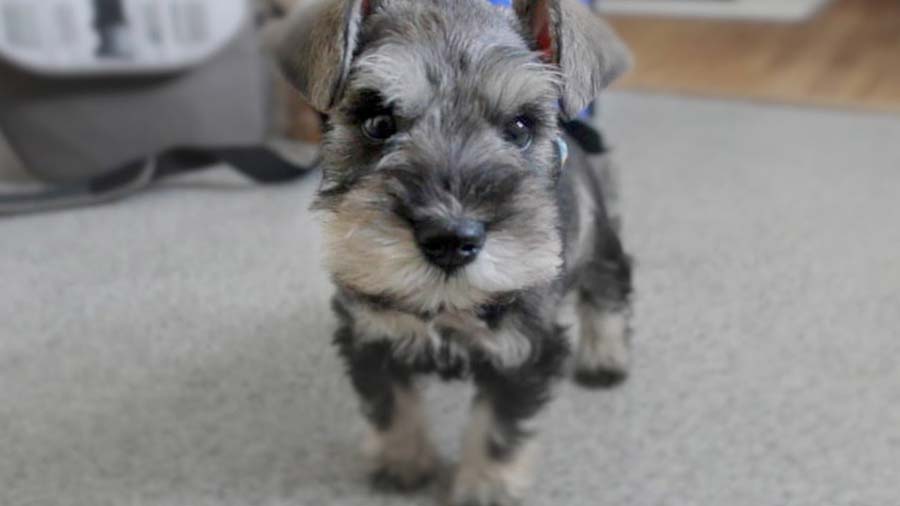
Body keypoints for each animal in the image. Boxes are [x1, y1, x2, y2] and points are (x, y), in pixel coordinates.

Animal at [274, 1, 632, 504]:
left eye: (519, 126)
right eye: (378, 122)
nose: (450, 240)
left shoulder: (523, 352)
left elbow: (498, 427)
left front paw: (486, 486)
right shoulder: (371, 335)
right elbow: (392, 403)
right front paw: (403, 462)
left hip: (600, 238)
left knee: (608, 289)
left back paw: (605, 356)